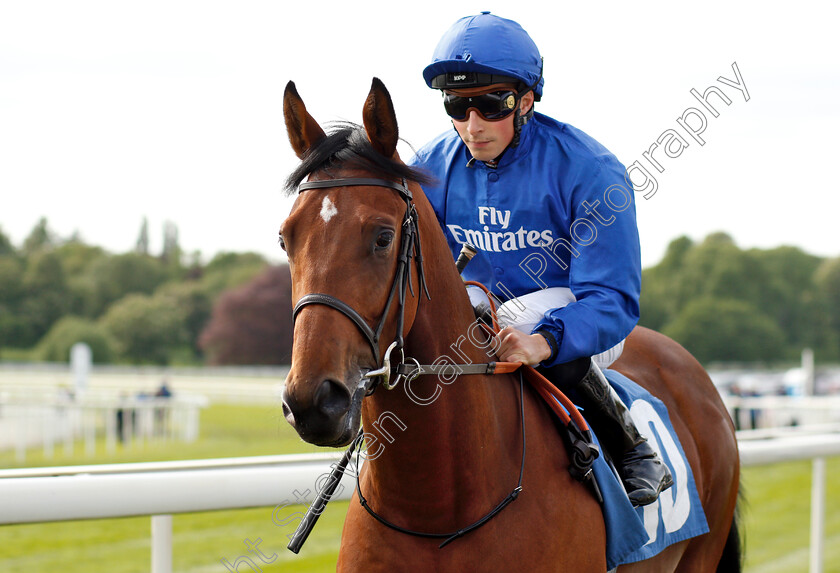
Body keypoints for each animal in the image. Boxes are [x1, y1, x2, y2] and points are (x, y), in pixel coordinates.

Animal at [278, 78, 740, 568]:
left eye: (383, 237)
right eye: (285, 238)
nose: (313, 401)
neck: (438, 512)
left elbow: (607, 295)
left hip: (704, 550)